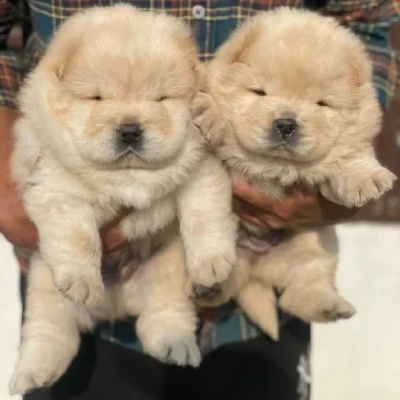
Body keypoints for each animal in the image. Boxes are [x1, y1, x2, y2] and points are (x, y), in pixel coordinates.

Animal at [9, 6, 238, 394]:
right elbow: (78, 235)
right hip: (44, 283)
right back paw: (32, 373)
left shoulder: (201, 170)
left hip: (166, 270)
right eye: (97, 99)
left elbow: (204, 215)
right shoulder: (54, 185)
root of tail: (114, 309)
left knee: (164, 316)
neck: (129, 175)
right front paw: (83, 282)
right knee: (48, 331)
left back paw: (176, 348)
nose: (130, 129)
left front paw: (214, 265)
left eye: (161, 99)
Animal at [192, 7, 396, 340]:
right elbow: (216, 103)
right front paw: (207, 112)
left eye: (321, 103)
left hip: (316, 244)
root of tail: (257, 266)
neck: (277, 165)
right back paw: (209, 287)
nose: (286, 123)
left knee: (299, 291)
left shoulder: (349, 141)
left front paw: (367, 179)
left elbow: (350, 153)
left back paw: (329, 306)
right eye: (259, 92)